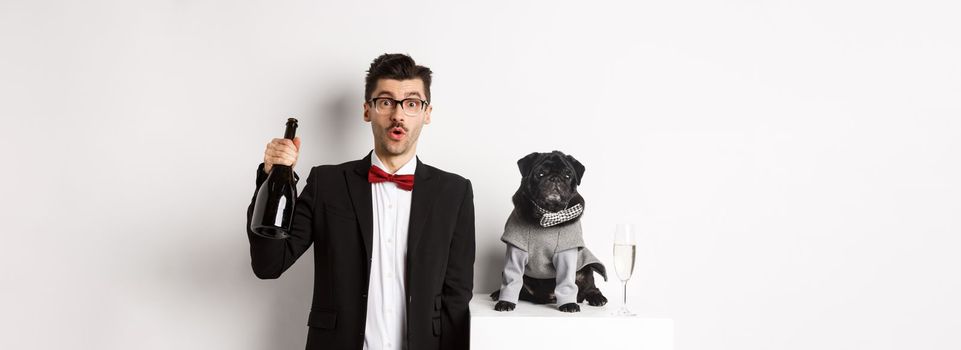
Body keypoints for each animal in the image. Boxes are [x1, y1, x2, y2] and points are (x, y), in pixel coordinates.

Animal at [492, 150, 604, 312]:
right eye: (540, 174)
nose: (555, 178)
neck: (547, 214)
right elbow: (512, 279)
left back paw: (597, 298)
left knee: (590, 287)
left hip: (586, 271)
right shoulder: (516, 250)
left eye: (568, 175)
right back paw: (497, 293)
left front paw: (568, 304)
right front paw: (505, 302)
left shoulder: (566, 253)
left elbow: (566, 282)